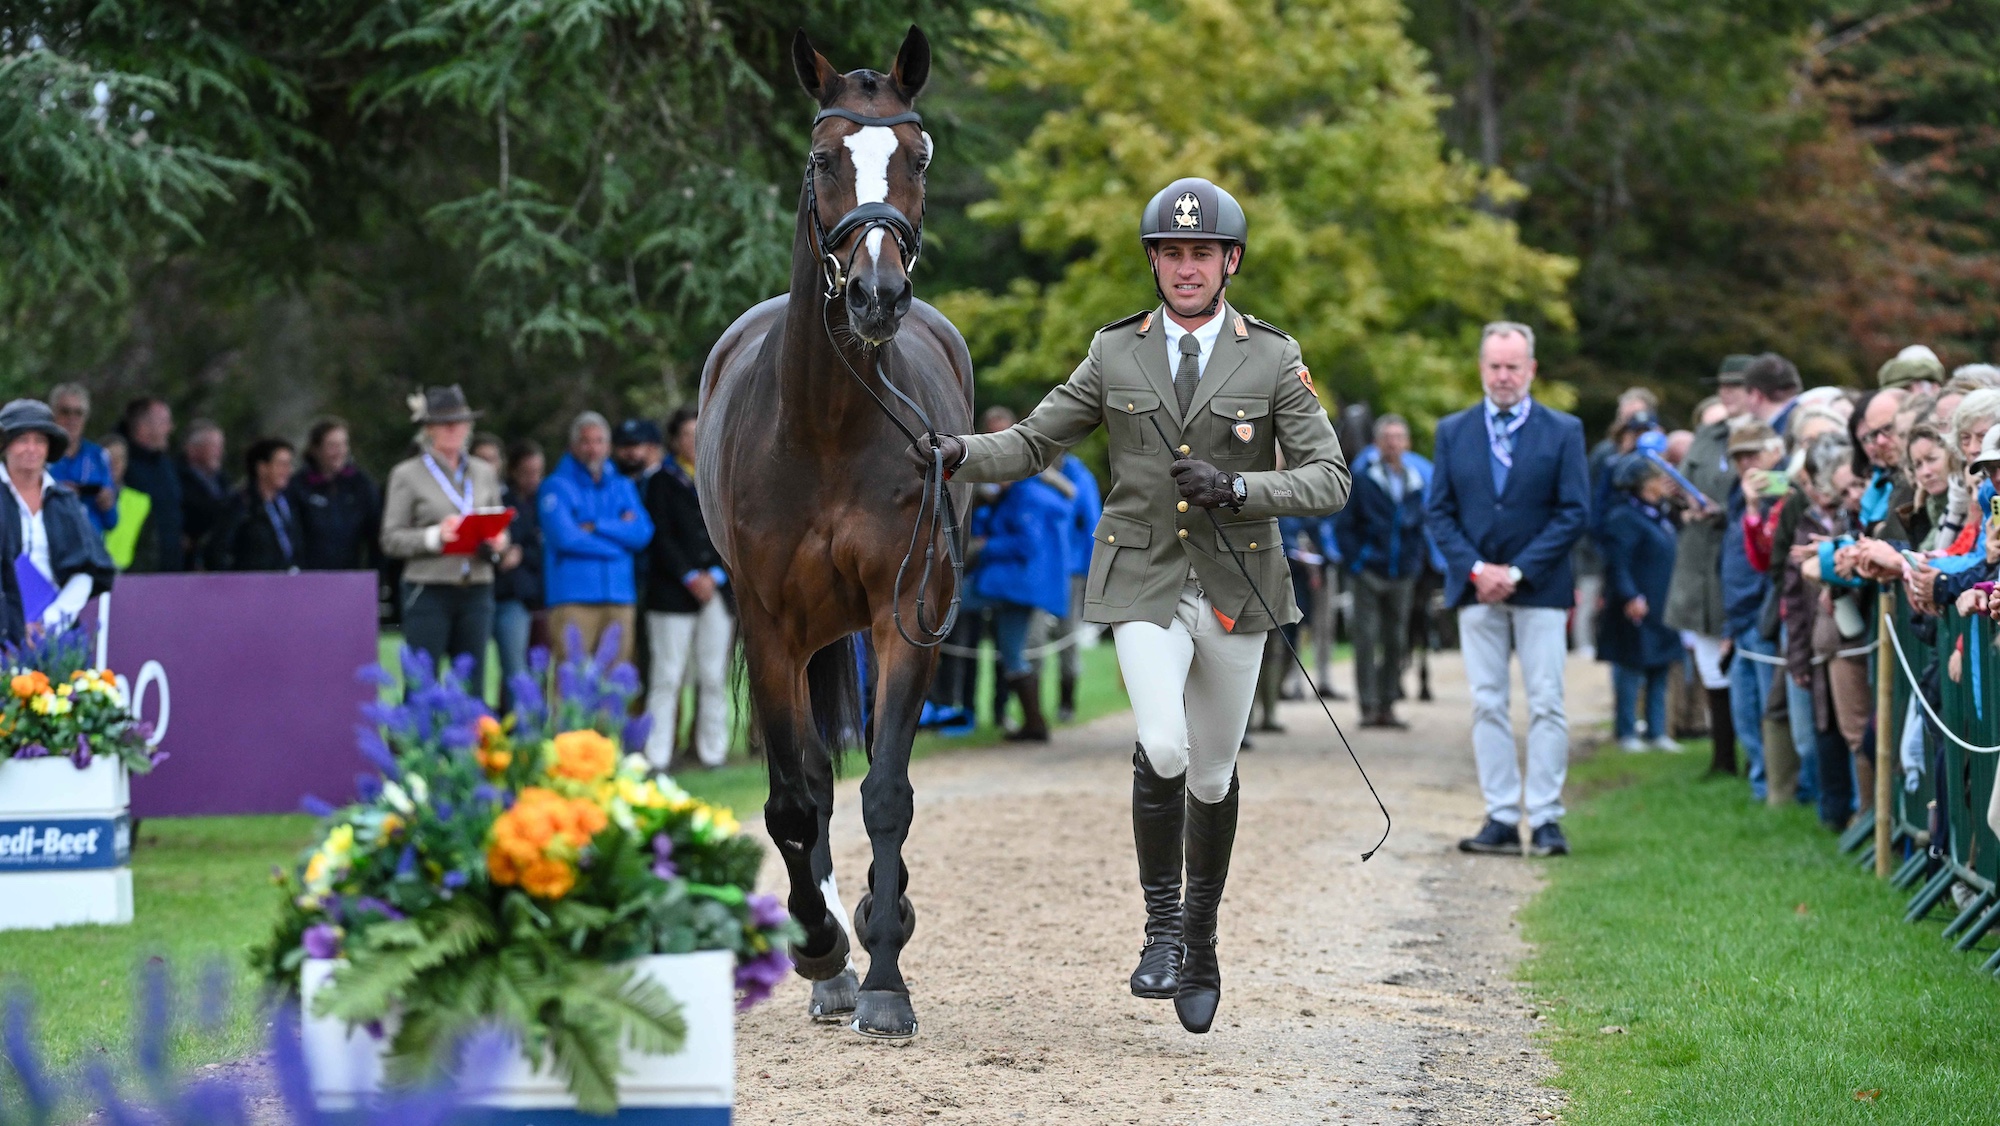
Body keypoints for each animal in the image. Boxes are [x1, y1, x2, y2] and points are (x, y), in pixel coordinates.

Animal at [695, 26, 972, 1040]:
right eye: (823, 158)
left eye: (918, 156)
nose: (875, 293)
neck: (821, 424)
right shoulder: (770, 627)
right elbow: (790, 798)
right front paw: (821, 948)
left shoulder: (905, 618)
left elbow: (885, 791)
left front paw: (885, 967)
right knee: (808, 788)